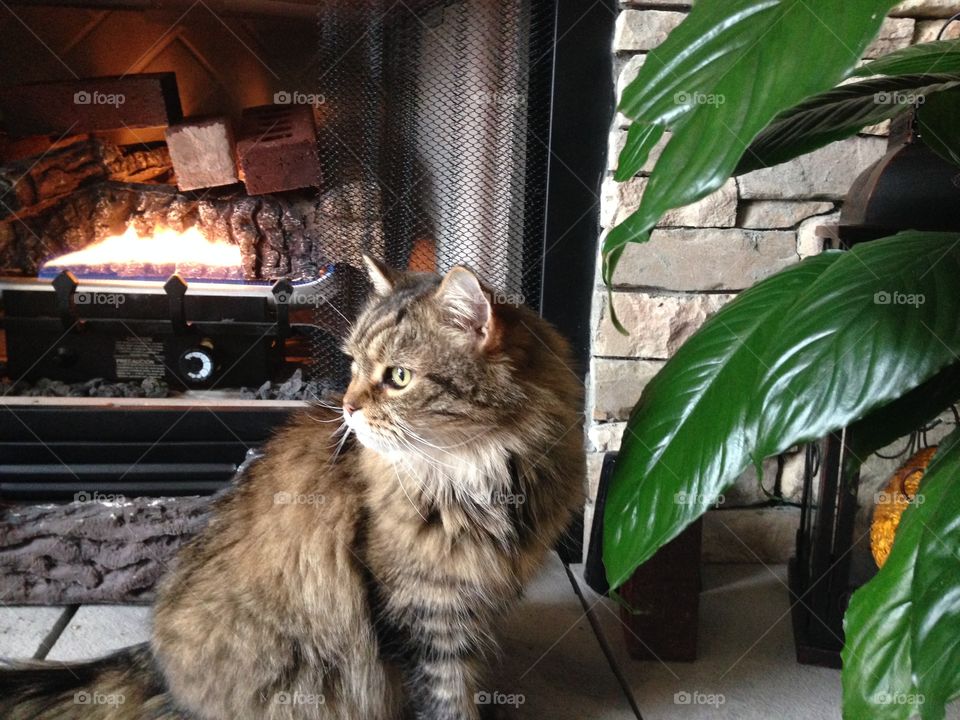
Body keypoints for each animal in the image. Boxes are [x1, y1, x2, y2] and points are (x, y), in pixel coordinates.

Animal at [0, 256, 584, 716]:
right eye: (353, 366)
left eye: (398, 377)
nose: (347, 407)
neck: (482, 474)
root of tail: (155, 654)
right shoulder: (422, 614)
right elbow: (444, 696)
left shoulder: (472, 605)